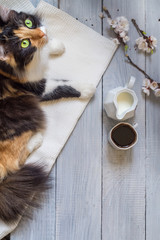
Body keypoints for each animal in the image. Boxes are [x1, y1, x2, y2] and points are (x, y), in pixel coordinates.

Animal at [0, 5, 95, 223]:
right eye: (24, 44)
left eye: (29, 23)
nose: (42, 33)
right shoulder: (37, 88)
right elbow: (63, 85)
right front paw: (87, 88)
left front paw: (55, 44)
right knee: (15, 162)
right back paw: (37, 139)